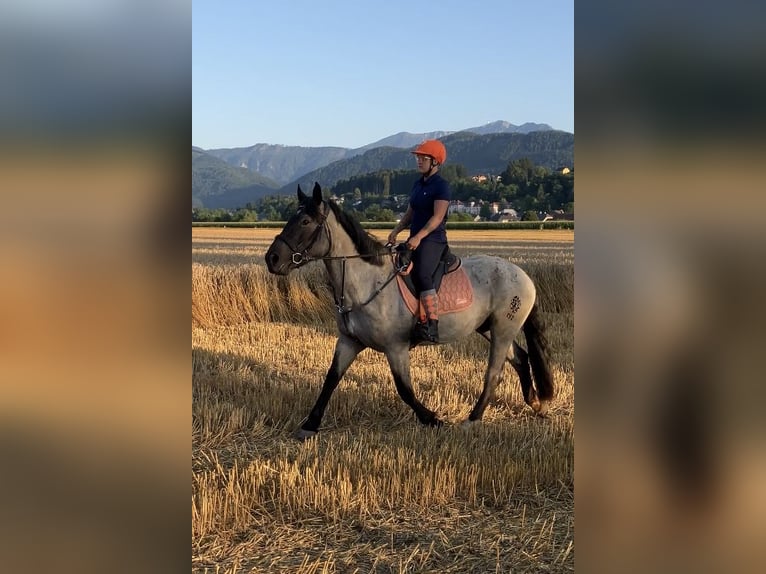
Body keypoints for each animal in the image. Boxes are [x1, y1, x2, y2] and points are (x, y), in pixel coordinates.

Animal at [268, 183, 556, 440]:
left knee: (494, 372)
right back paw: (535, 403)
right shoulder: (349, 341)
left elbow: (404, 389)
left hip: (503, 328)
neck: (366, 282)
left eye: (305, 221)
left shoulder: (396, 347)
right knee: (521, 358)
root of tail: (523, 275)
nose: (272, 259)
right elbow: (331, 378)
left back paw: (472, 420)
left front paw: (433, 419)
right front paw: (309, 425)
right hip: (489, 328)